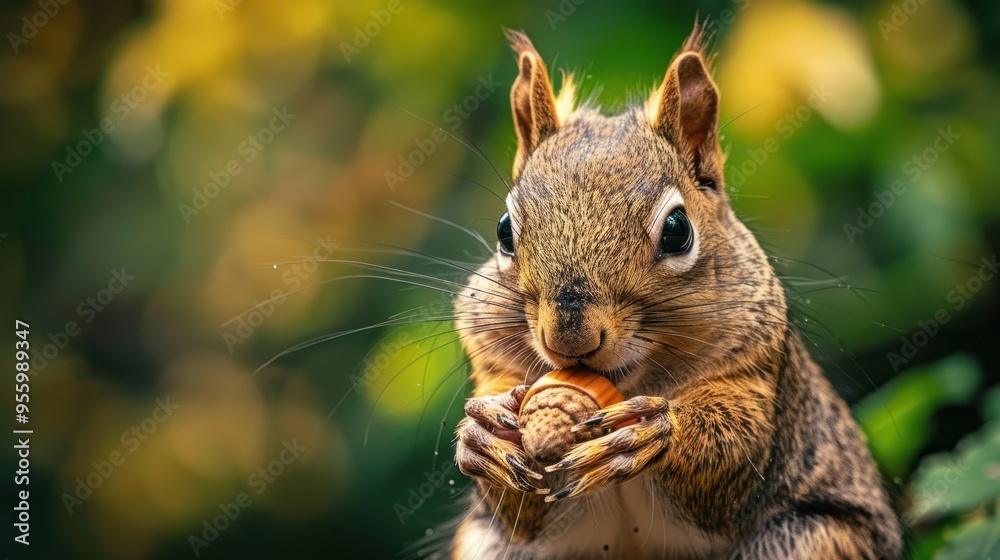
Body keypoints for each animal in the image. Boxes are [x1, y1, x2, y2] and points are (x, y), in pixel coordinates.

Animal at [448, 24, 903, 560]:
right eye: (504, 231)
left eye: (677, 230)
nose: (569, 339)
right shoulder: (491, 359)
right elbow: (522, 512)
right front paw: (482, 434)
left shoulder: (756, 374)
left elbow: (735, 446)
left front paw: (652, 432)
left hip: (811, 538)